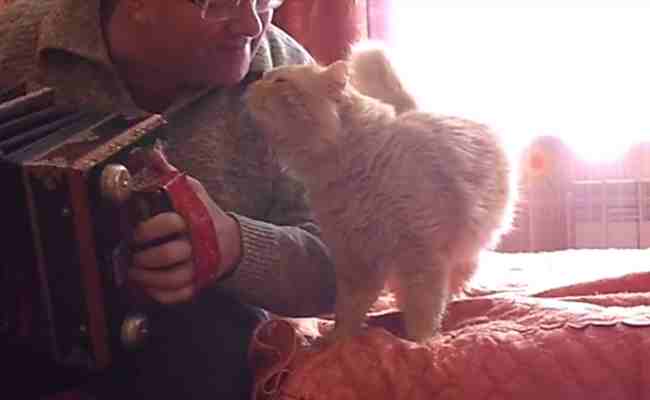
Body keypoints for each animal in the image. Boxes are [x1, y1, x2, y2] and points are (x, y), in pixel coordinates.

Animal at [246, 50, 512, 344]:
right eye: (266, 77)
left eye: (280, 80)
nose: (254, 82)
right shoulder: (356, 259)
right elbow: (347, 312)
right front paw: (336, 342)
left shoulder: (421, 255)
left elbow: (423, 308)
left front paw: (420, 342)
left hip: (461, 254)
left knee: (448, 288)